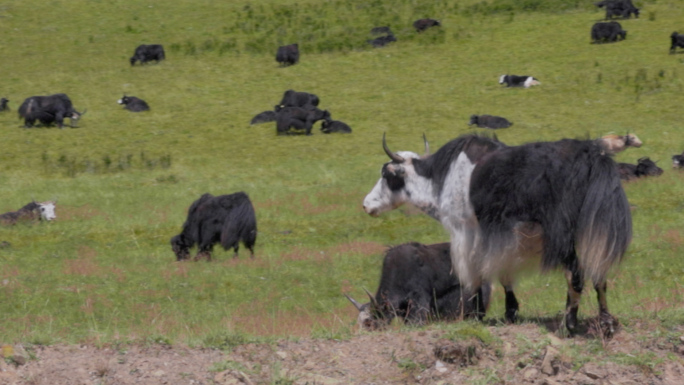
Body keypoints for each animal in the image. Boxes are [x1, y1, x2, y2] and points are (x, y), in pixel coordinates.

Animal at [364, 134, 632, 336]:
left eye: (387, 174)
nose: (367, 205)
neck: (443, 180)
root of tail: (592, 158)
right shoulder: (503, 240)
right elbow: (504, 272)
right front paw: (510, 313)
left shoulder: (467, 233)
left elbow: (476, 273)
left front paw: (475, 315)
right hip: (593, 230)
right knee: (599, 270)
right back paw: (606, 323)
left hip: (563, 235)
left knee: (575, 274)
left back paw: (569, 325)